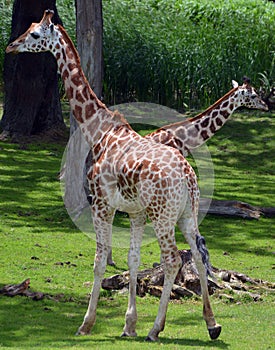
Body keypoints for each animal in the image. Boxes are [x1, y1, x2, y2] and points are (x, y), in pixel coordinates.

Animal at [6, 10, 223, 342]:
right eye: (28, 28)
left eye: (34, 35)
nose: (11, 46)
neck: (97, 130)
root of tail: (188, 176)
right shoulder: (135, 212)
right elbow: (132, 259)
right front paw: (128, 325)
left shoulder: (101, 205)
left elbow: (99, 260)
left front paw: (87, 324)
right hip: (188, 212)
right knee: (198, 254)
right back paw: (212, 325)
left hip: (163, 216)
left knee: (173, 259)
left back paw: (156, 329)